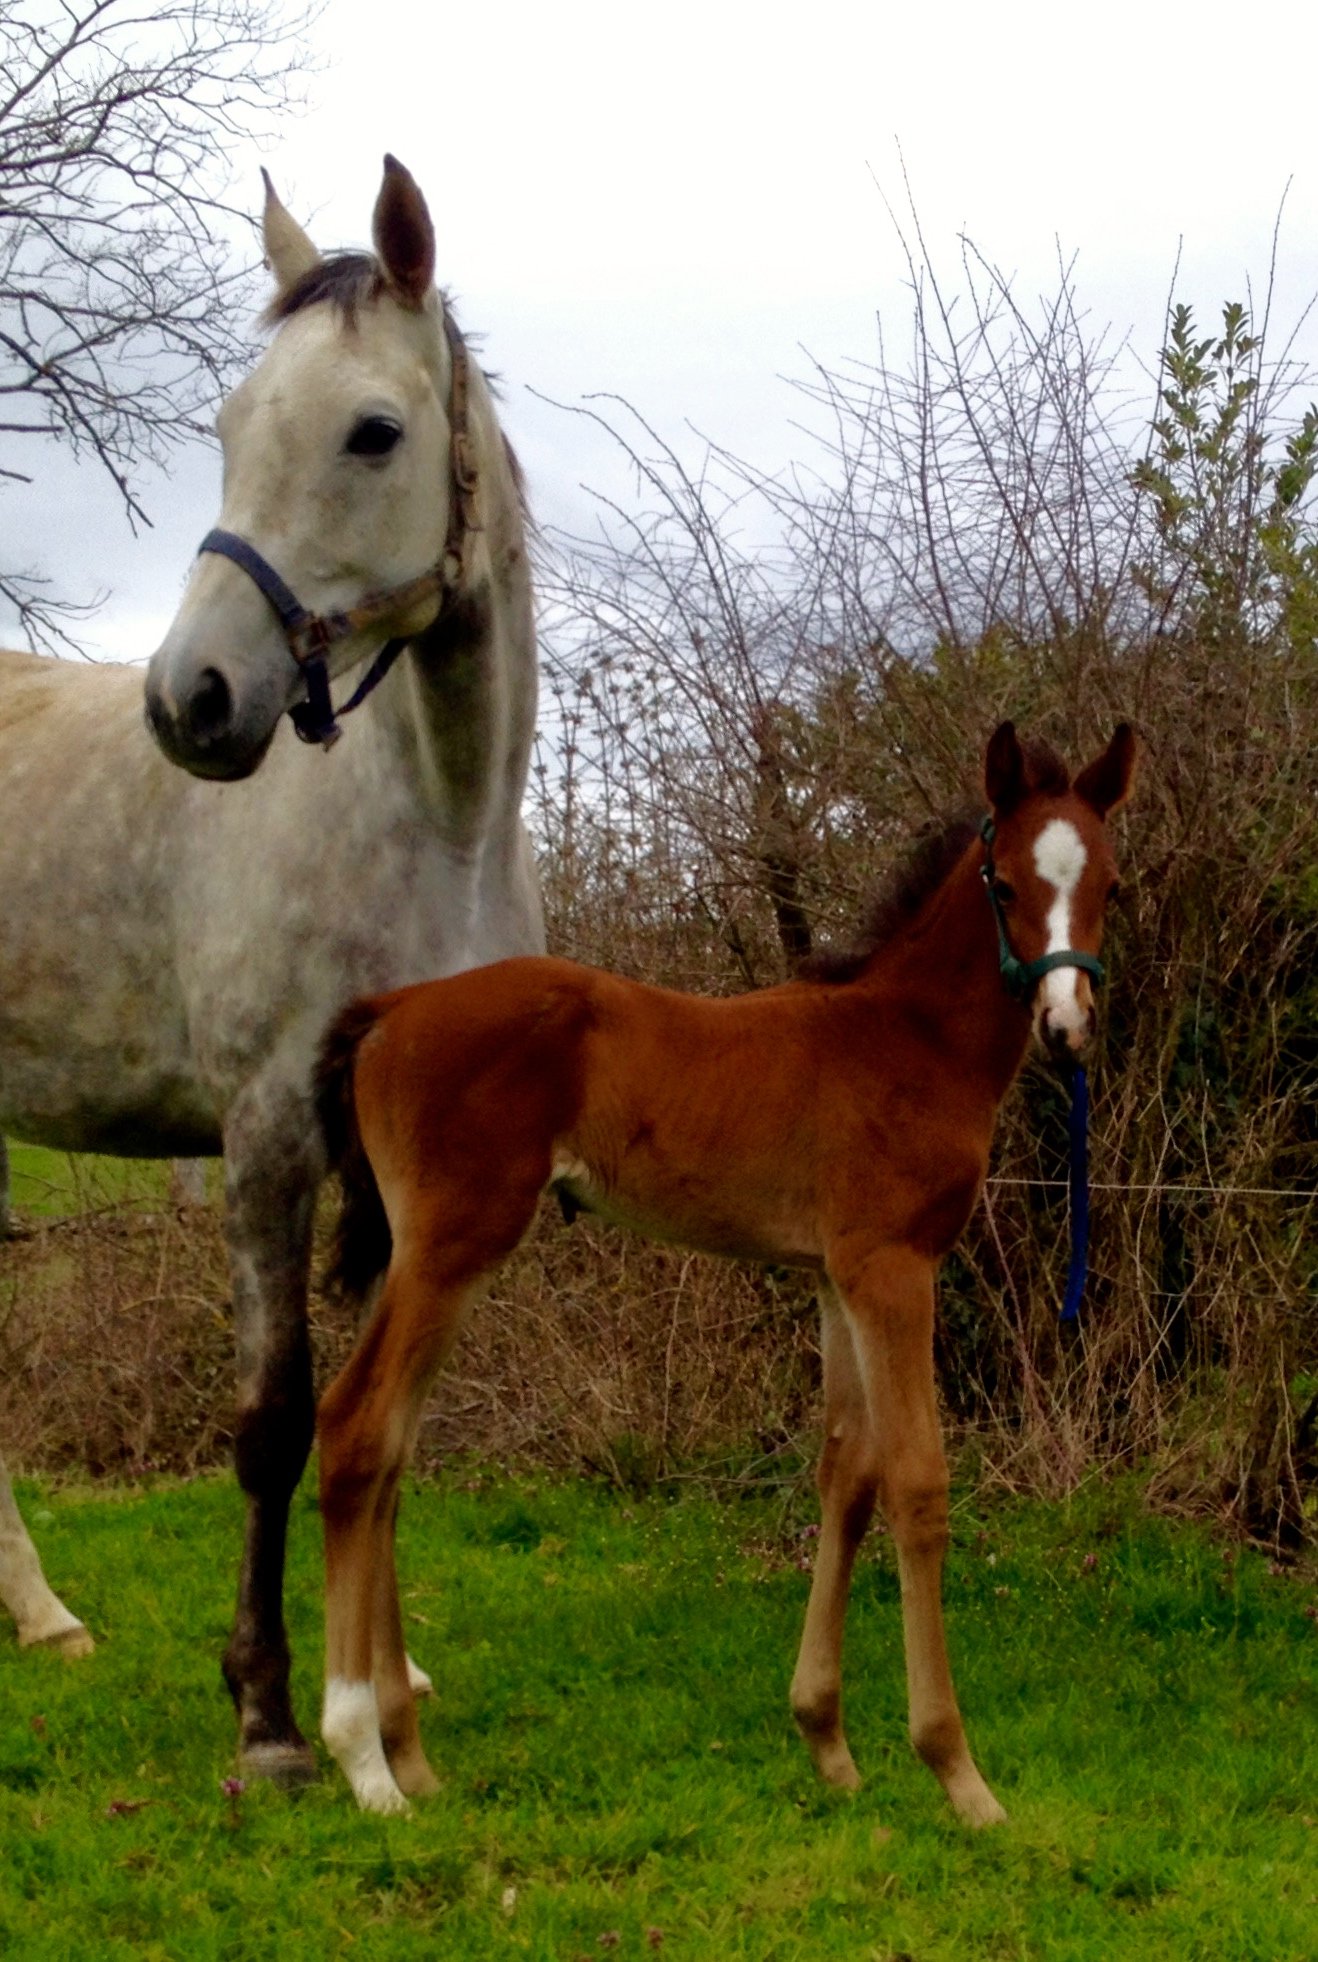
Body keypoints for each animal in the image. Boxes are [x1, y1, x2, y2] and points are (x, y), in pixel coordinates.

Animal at [0, 157, 543, 1777]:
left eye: (373, 431)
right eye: (232, 426)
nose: (194, 701)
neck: (434, 826)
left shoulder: (417, 1161)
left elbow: (384, 1414)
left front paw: (388, 1677)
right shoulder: (265, 1137)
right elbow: (273, 1418)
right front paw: (265, 1711)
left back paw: (43, 1618)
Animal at [311, 719, 1136, 1817]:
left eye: (1112, 884)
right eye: (1003, 883)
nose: (1066, 1026)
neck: (906, 1041)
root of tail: (394, 1006)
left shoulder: (833, 1276)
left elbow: (847, 1474)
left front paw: (829, 1744)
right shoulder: (892, 1269)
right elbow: (917, 1484)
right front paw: (959, 1775)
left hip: (438, 1258)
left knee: (393, 1449)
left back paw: (410, 1752)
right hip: (450, 1246)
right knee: (358, 1429)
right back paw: (362, 1759)